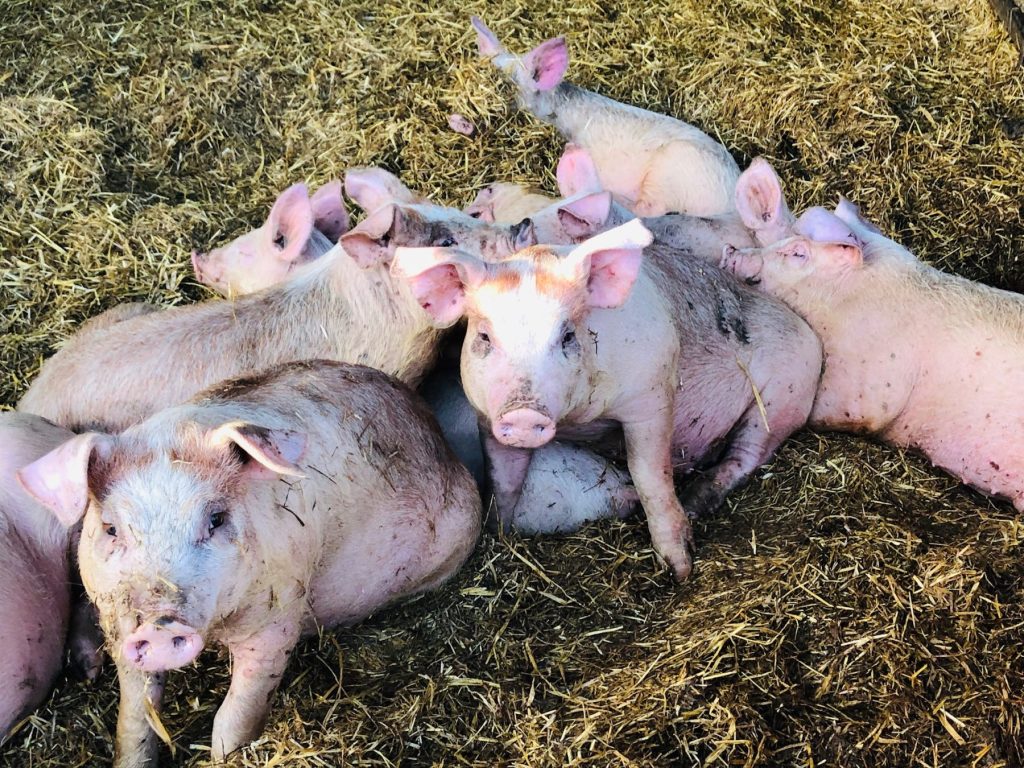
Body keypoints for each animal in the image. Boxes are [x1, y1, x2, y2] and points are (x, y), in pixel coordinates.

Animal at [18, 359, 481, 766]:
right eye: (111, 528)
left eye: (216, 519)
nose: (159, 623)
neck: (218, 629)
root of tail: (434, 429)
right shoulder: (119, 623)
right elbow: (135, 717)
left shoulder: (279, 614)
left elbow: (237, 711)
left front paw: (226, 756)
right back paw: (87, 669)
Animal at [392, 219, 822, 579]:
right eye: (484, 336)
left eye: (567, 335)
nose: (524, 413)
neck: (578, 420)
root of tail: (808, 333)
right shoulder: (487, 419)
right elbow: (505, 481)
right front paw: (503, 533)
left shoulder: (651, 398)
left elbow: (649, 476)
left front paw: (680, 570)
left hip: (782, 396)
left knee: (746, 456)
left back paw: (696, 500)